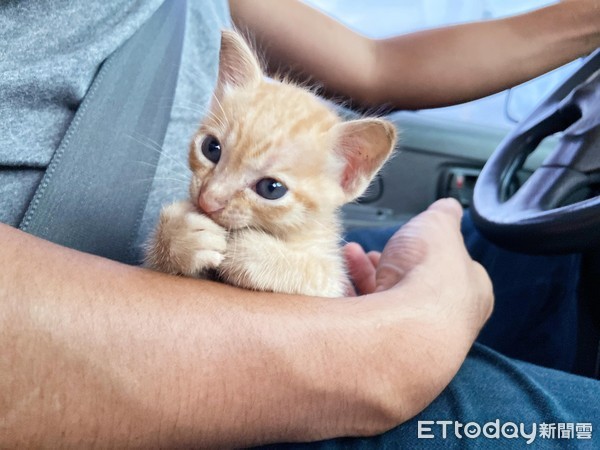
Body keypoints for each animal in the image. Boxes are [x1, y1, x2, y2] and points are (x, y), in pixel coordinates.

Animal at [144, 30, 398, 298]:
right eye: (211, 148)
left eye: (271, 189)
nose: (208, 200)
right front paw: (179, 235)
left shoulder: (330, 281)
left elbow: (313, 271)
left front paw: (253, 252)